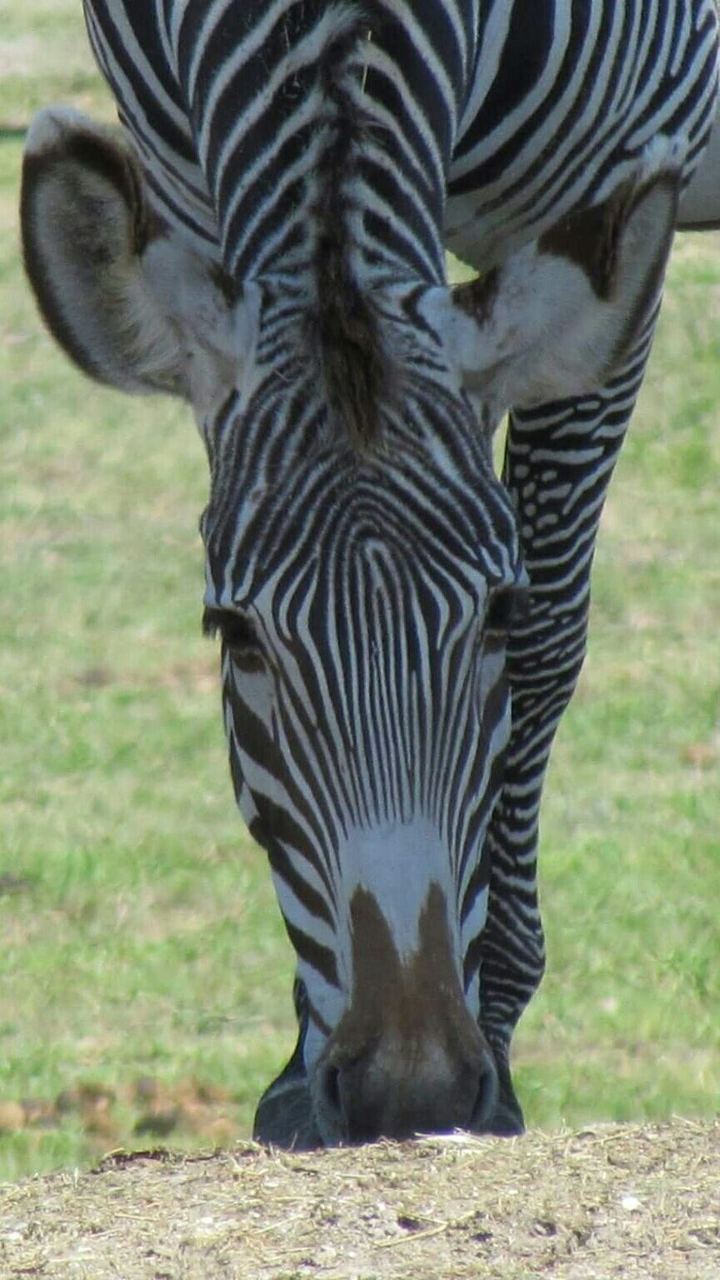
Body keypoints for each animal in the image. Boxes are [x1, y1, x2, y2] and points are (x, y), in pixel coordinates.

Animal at [20, 2, 719, 1148]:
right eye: (234, 634)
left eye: (495, 617)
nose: (410, 1093)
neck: (332, 33)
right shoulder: (185, 184)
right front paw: (301, 1064)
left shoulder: (612, 168)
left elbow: (556, 635)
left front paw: (499, 1020)